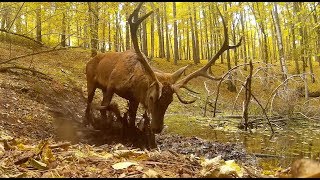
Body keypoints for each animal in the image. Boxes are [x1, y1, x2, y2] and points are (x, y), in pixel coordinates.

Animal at [84, 1, 241, 134]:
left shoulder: (134, 98)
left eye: (170, 101)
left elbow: (132, 116)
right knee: (89, 101)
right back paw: (87, 121)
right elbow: (105, 106)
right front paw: (106, 125)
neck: (133, 82)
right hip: (90, 80)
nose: (157, 129)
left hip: (102, 87)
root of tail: (89, 61)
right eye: (152, 97)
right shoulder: (111, 84)